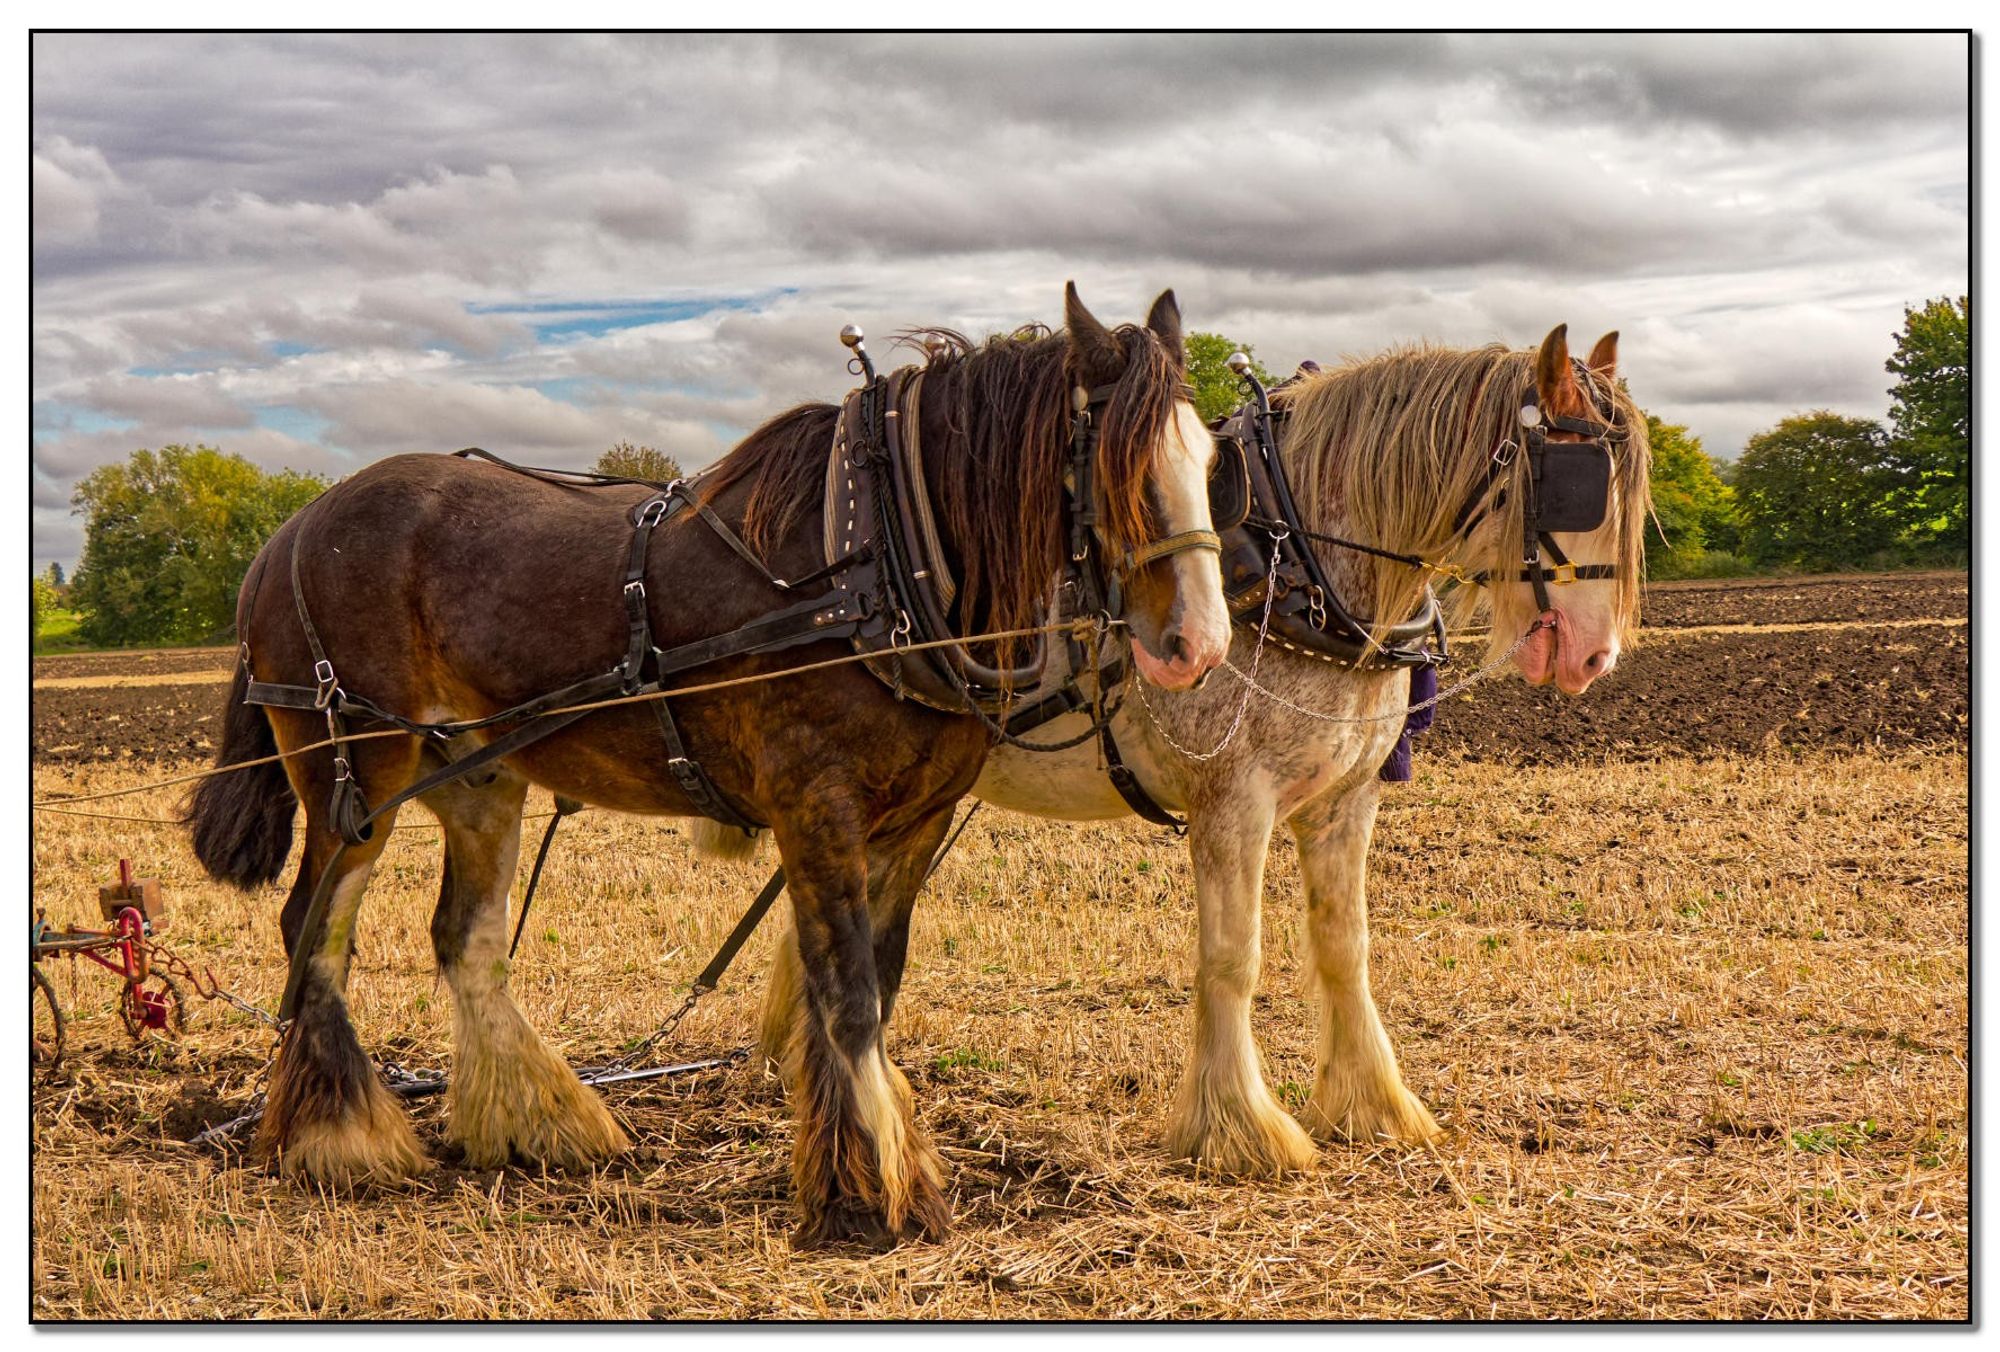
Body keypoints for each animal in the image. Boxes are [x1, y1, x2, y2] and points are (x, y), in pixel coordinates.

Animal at [188, 286, 1224, 1248]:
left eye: (1208, 460)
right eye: (1120, 465)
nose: (1198, 645)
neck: (878, 556)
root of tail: (289, 531)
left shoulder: (916, 820)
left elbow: (873, 988)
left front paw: (863, 1167)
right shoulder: (815, 805)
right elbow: (847, 994)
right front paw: (869, 1197)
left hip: (477, 776)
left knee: (464, 938)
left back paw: (542, 1122)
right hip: (354, 770)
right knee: (314, 929)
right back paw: (341, 1138)